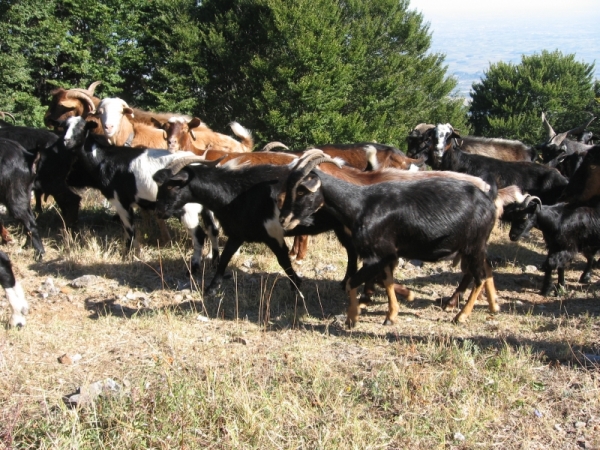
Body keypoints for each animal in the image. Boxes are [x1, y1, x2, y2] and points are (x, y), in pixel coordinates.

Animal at [278, 151, 500, 326]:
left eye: (301, 190)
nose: (283, 219)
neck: (360, 205)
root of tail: (490, 202)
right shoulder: (386, 253)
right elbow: (387, 281)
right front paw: (391, 316)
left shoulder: (376, 255)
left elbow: (353, 282)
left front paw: (352, 318)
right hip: (475, 246)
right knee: (486, 267)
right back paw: (493, 306)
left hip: (473, 245)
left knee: (479, 276)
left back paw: (461, 316)